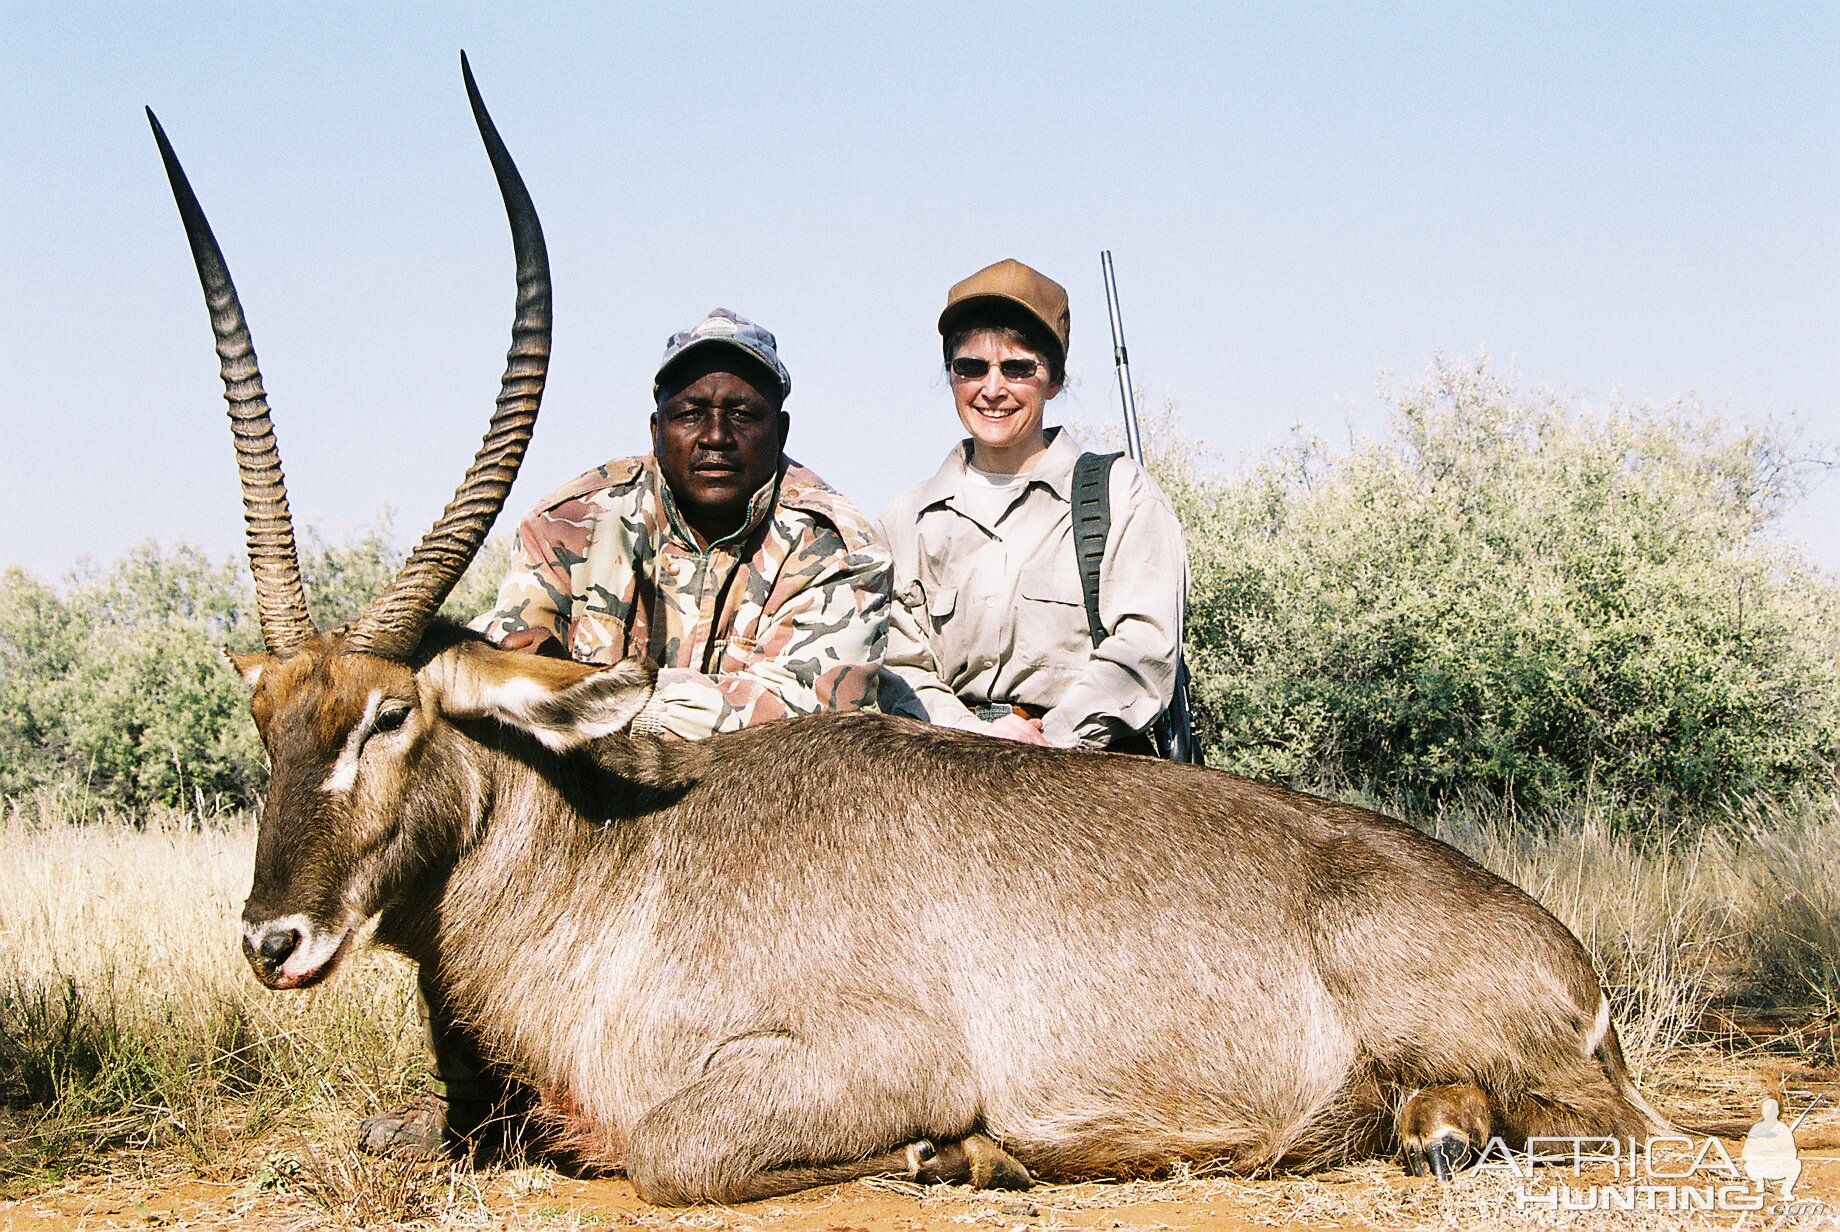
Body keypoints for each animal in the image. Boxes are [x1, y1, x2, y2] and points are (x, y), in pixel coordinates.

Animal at [150, 57, 1678, 1206]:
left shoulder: (854, 1063)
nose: (273, 938)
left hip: (1540, 1076)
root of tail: (1566, 956)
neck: (619, 857)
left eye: (389, 714)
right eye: (264, 717)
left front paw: (963, 1151)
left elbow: (674, 1153)